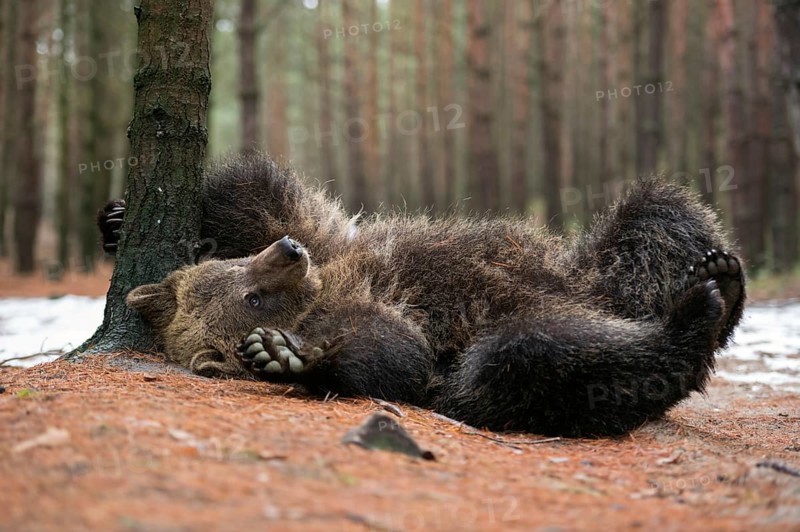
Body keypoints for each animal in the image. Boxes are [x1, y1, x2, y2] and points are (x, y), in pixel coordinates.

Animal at [99, 152, 745, 437]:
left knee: (659, 215)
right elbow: (397, 355)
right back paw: (694, 321)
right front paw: (285, 354)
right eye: (251, 299)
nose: (287, 252)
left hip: (597, 269)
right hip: (520, 344)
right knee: (530, 359)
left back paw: (722, 276)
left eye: (238, 268)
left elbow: (256, 194)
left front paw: (117, 217)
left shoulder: (328, 240)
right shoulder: (372, 315)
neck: (321, 288)